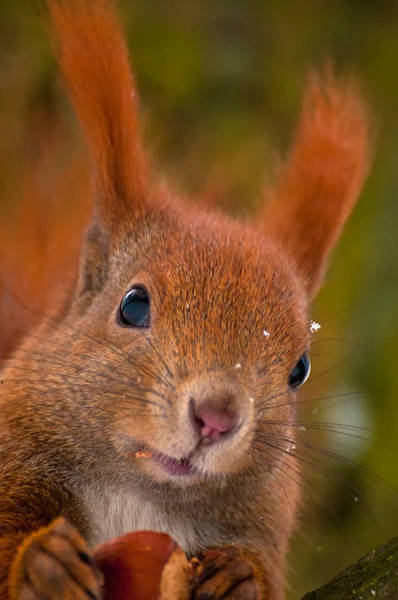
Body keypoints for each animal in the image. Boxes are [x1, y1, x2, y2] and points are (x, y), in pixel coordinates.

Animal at [0, 1, 370, 600]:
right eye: (132, 305)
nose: (215, 419)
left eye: (300, 369)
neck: (140, 492)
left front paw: (241, 574)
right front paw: (39, 563)